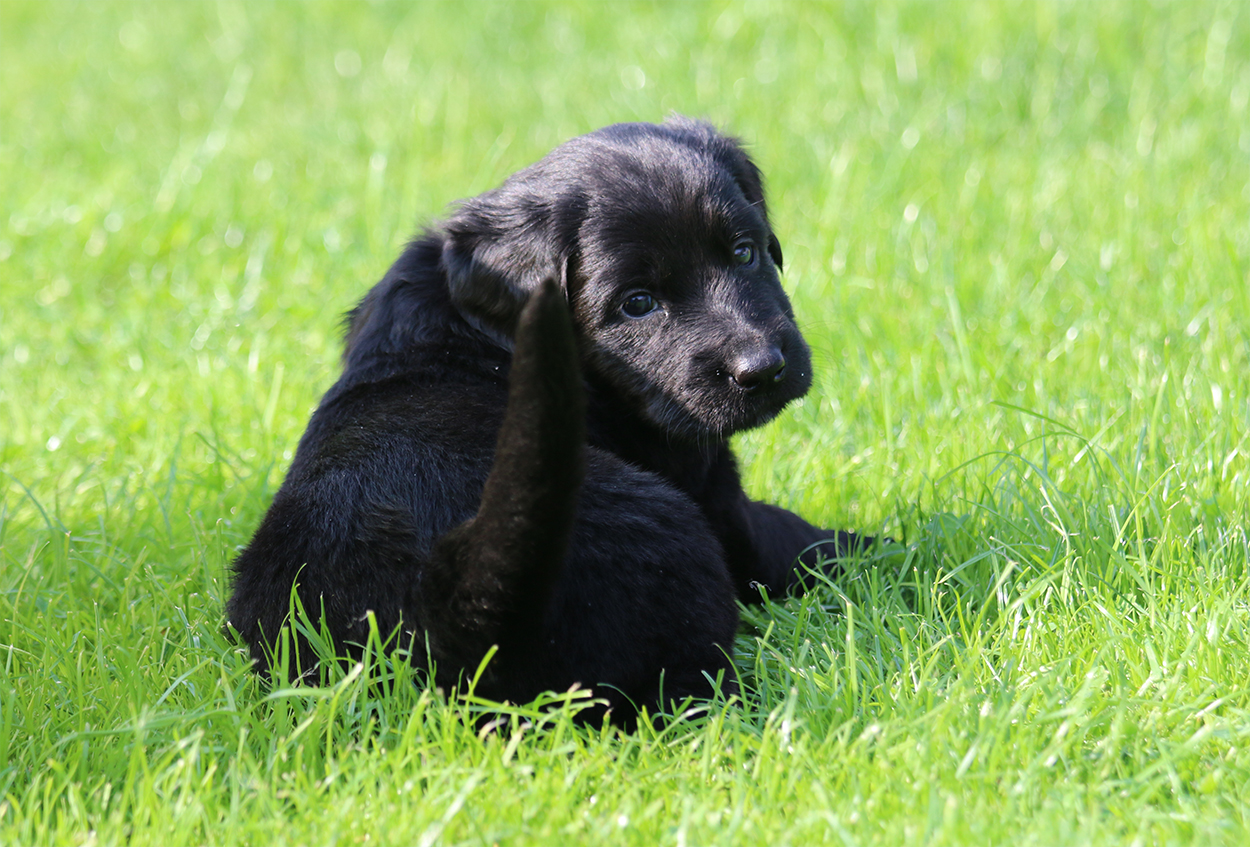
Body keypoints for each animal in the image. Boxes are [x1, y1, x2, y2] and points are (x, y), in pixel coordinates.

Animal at [227, 117, 867, 726]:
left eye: (743, 252)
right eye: (637, 303)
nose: (764, 367)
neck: (478, 328)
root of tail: (459, 604)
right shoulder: (714, 493)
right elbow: (805, 541)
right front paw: (891, 552)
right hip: (674, 533)